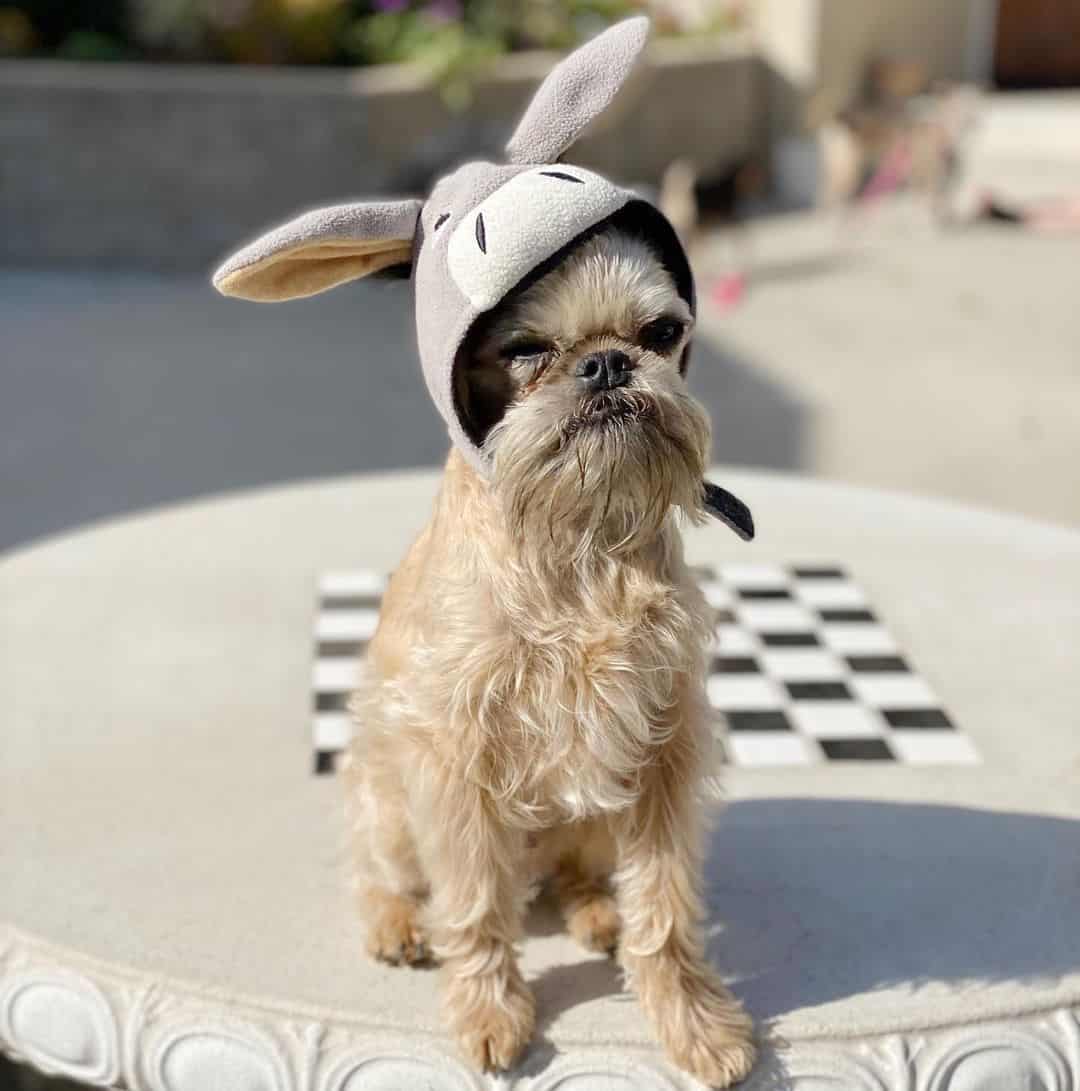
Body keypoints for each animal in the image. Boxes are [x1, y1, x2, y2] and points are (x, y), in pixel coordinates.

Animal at [342, 219, 754, 1082]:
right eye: (526, 348)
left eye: (660, 333)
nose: (605, 361)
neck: (581, 539)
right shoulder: (455, 763)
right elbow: (473, 906)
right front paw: (488, 1009)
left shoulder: (666, 751)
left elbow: (666, 907)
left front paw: (691, 1021)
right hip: (388, 802)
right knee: (377, 869)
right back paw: (395, 921)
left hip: (595, 815)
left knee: (573, 869)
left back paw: (597, 910)